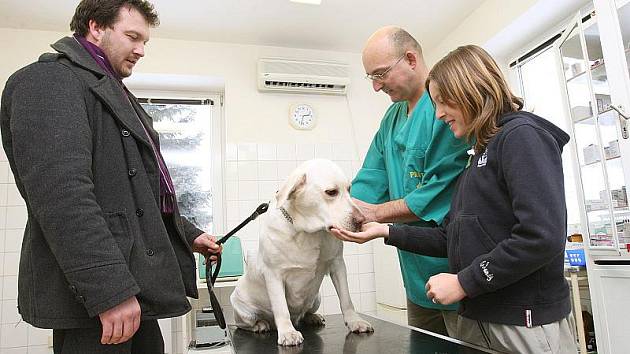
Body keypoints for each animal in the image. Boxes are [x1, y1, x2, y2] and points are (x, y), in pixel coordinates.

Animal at [231, 158, 376, 346]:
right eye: (331, 192)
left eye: (349, 189)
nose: (361, 220)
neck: (308, 231)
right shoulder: (274, 275)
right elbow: (281, 308)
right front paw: (288, 333)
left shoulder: (337, 264)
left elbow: (346, 299)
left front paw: (355, 321)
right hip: (241, 307)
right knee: (245, 324)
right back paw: (260, 324)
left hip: (316, 297)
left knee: (306, 312)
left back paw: (312, 317)